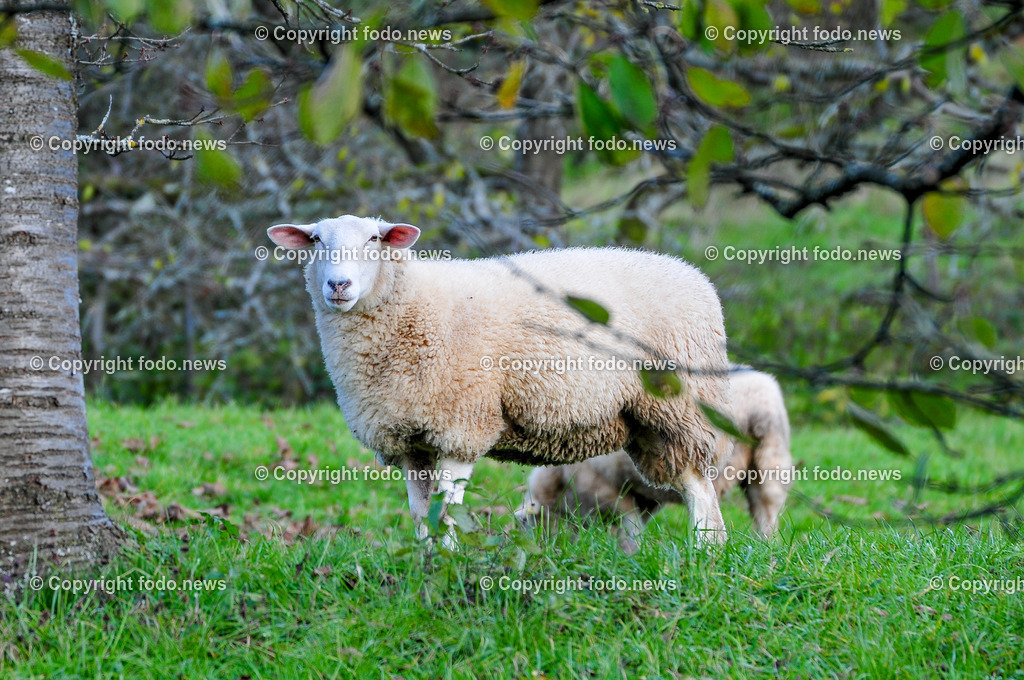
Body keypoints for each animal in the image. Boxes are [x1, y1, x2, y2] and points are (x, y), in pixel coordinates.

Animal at [267, 215, 733, 547]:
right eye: (316, 240)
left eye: (374, 240)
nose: (338, 284)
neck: (411, 308)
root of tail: (694, 275)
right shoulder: (408, 440)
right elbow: (420, 514)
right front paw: (424, 562)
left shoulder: (462, 423)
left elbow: (445, 511)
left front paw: (449, 565)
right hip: (646, 421)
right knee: (683, 483)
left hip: (681, 406)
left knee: (698, 486)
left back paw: (705, 552)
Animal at [516, 366, 792, 552]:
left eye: (528, 524)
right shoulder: (646, 498)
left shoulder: (609, 493)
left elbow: (631, 528)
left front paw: (631, 553)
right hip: (769, 465)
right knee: (767, 516)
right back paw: (768, 551)